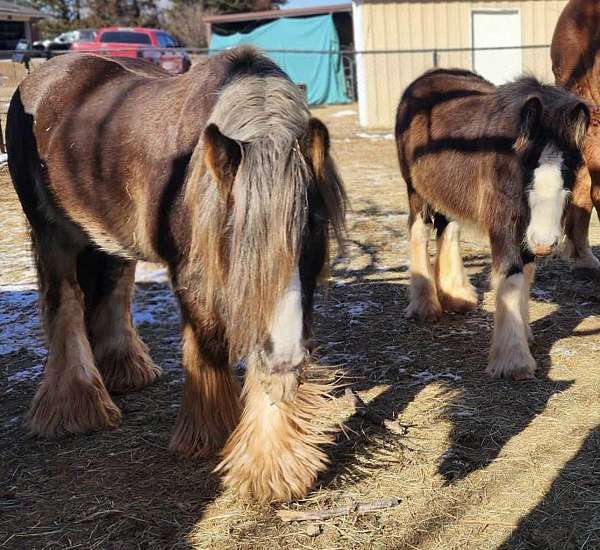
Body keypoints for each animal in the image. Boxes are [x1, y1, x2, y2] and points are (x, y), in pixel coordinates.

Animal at [7, 48, 346, 504]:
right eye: (235, 235)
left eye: (311, 229)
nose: (289, 356)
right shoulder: (191, 273)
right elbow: (208, 346)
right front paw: (210, 436)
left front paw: (271, 467)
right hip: (51, 232)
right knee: (67, 304)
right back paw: (77, 408)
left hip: (111, 238)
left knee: (114, 290)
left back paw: (126, 371)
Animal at [396, 68, 588, 380]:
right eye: (526, 168)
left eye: (569, 170)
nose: (545, 242)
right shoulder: (505, 225)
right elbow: (511, 276)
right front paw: (513, 360)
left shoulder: (525, 232)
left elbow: (526, 275)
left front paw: (525, 336)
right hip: (416, 191)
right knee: (419, 231)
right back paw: (425, 307)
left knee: (449, 229)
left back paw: (456, 295)